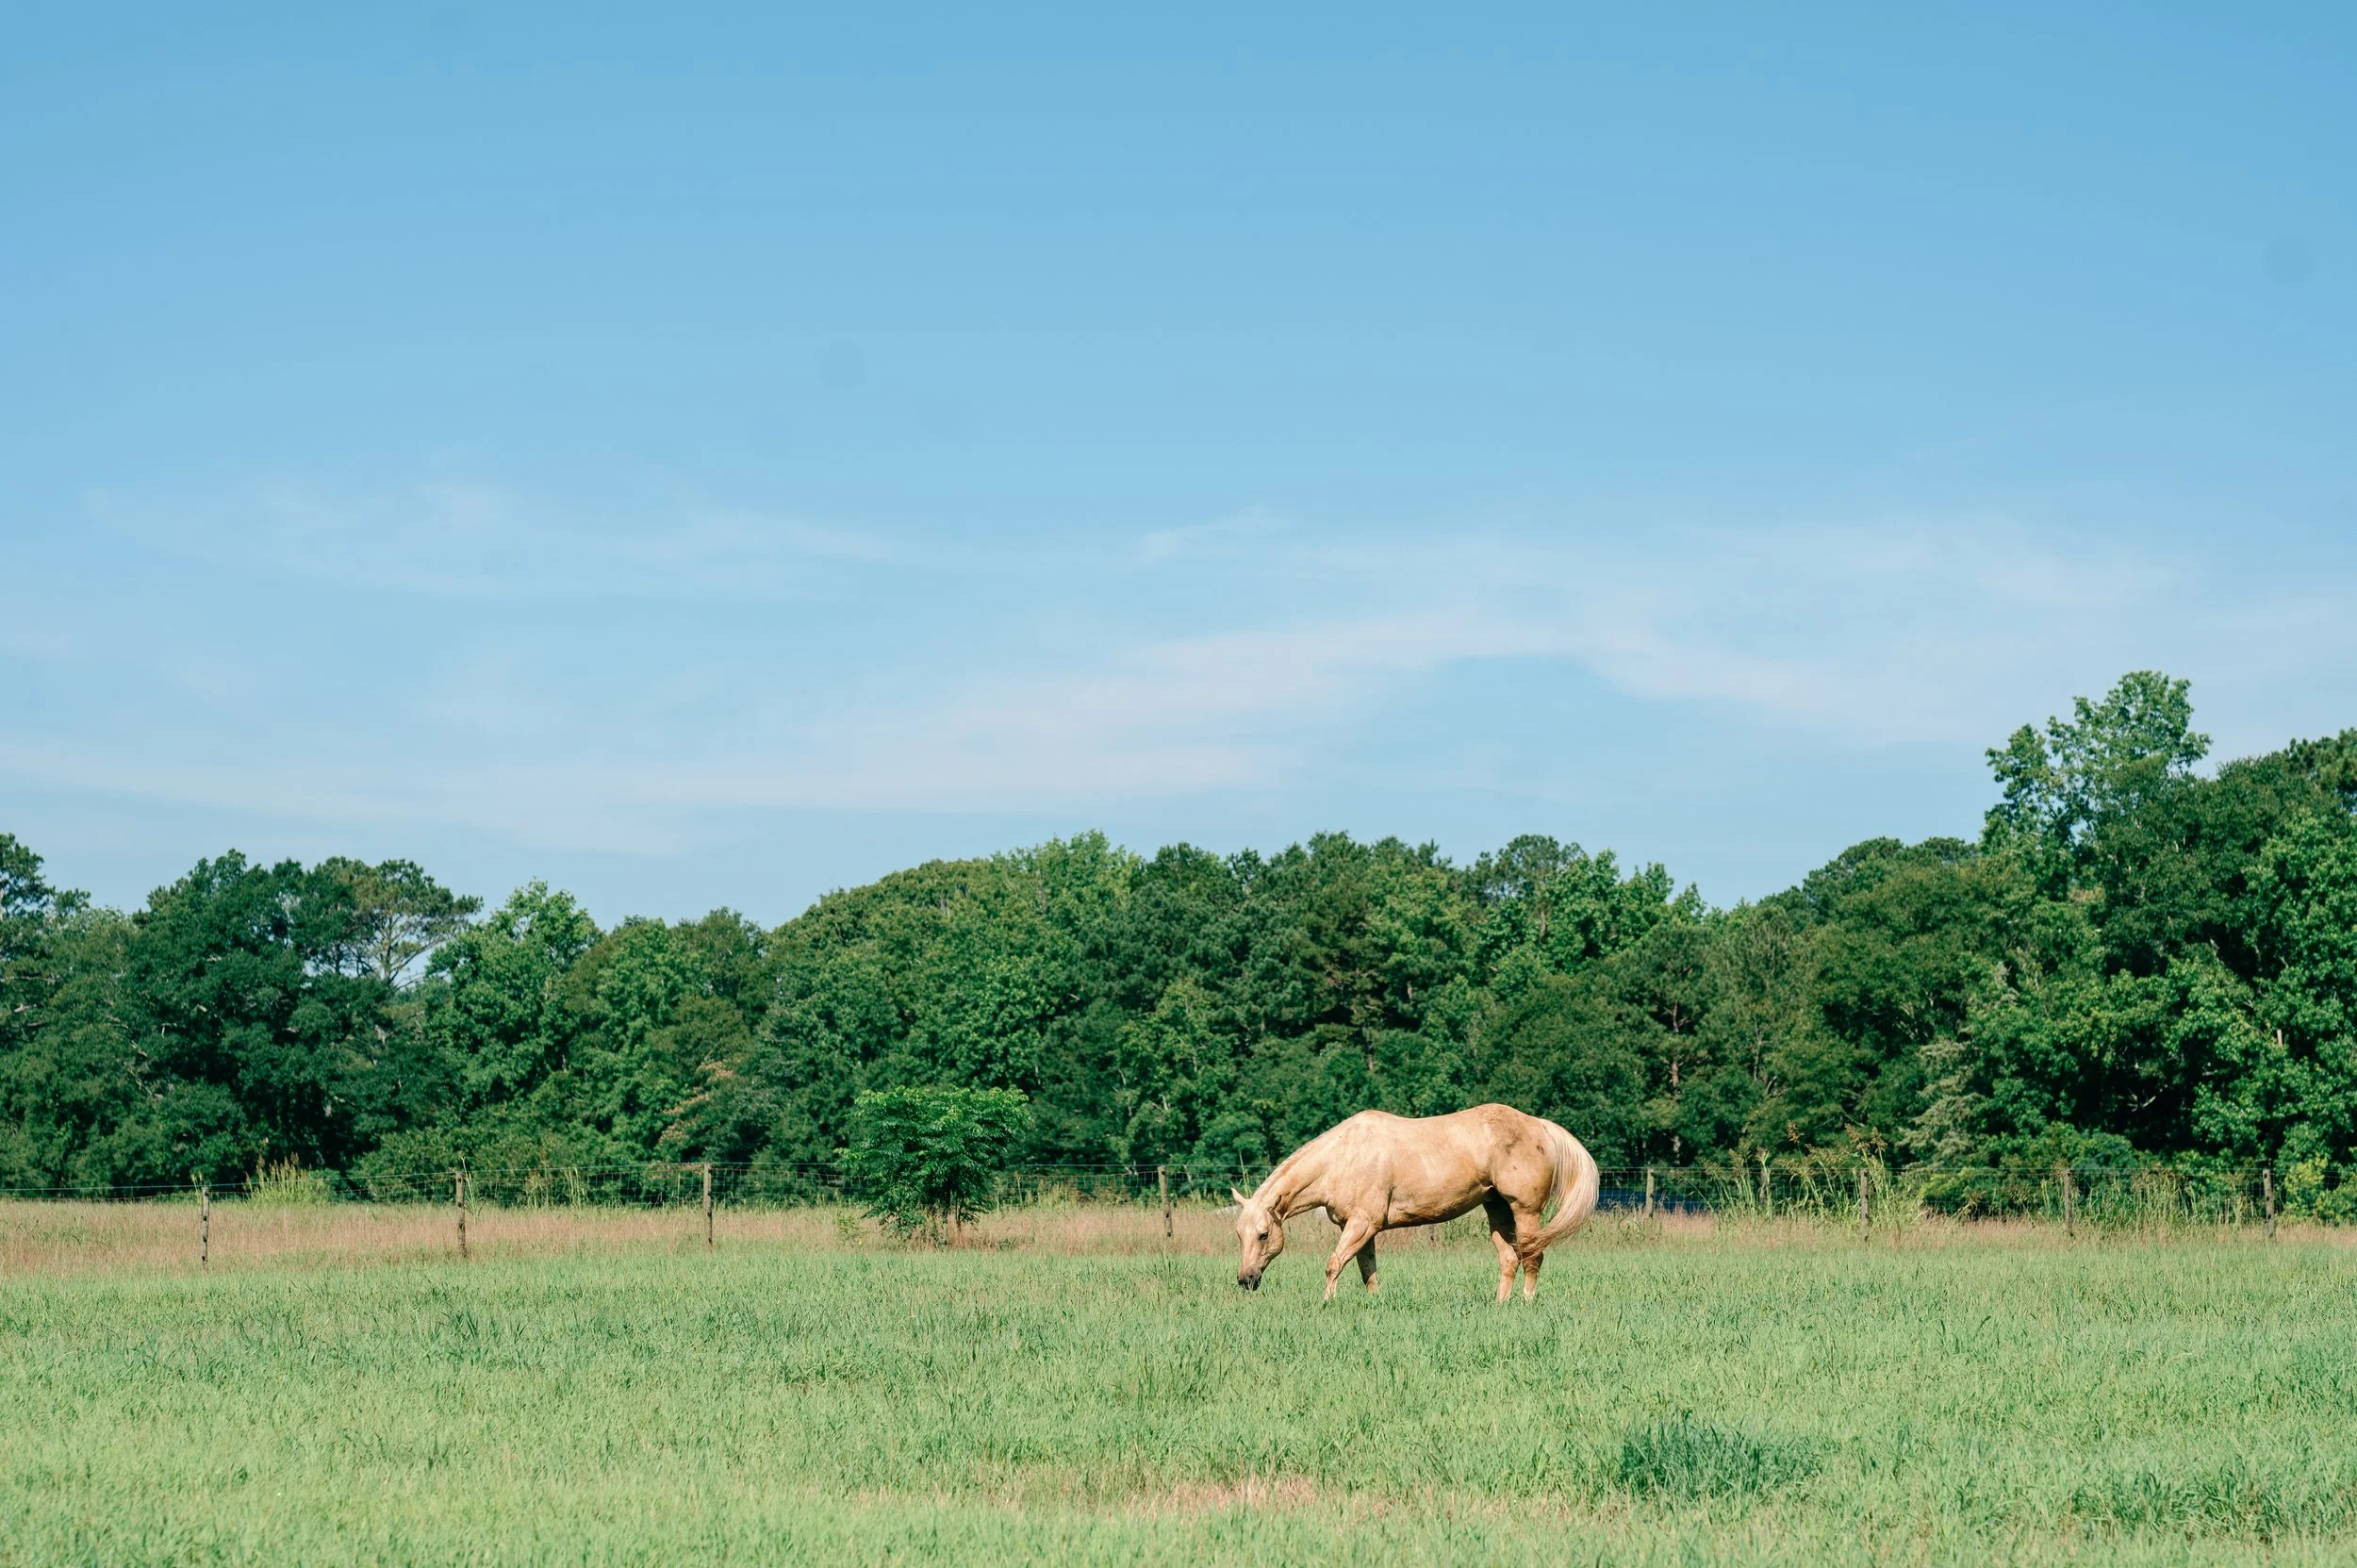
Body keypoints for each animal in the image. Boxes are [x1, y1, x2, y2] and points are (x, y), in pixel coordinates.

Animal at [1232, 1104, 1600, 1302]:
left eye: (1263, 1234)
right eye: (1239, 1235)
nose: (1246, 1279)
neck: (1344, 1157)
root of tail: (1540, 1126)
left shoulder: (1363, 1224)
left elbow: (1334, 1264)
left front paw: (1326, 1304)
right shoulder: (1361, 1228)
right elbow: (1368, 1272)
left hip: (1526, 1211)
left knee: (1533, 1257)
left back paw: (1525, 1302)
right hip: (1496, 1209)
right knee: (1509, 1259)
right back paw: (1500, 1305)